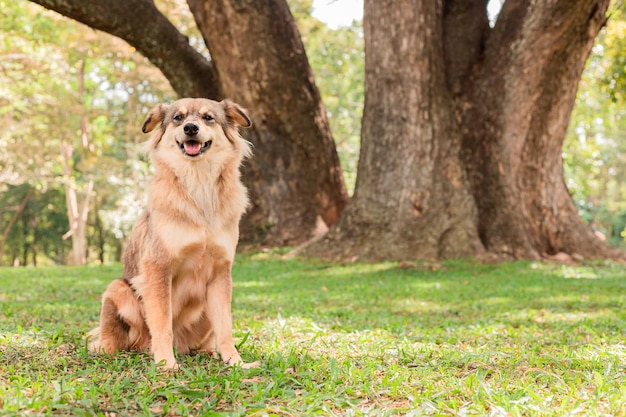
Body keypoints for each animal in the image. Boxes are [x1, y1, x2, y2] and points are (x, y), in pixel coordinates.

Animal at [88, 97, 254, 368]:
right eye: (178, 118)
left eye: (208, 118)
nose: (190, 128)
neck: (199, 186)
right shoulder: (158, 267)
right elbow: (162, 322)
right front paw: (166, 363)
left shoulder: (221, 272)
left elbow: (225, 326)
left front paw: (235, 361)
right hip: (118, 288)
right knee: (113, 338)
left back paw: (207, 352)